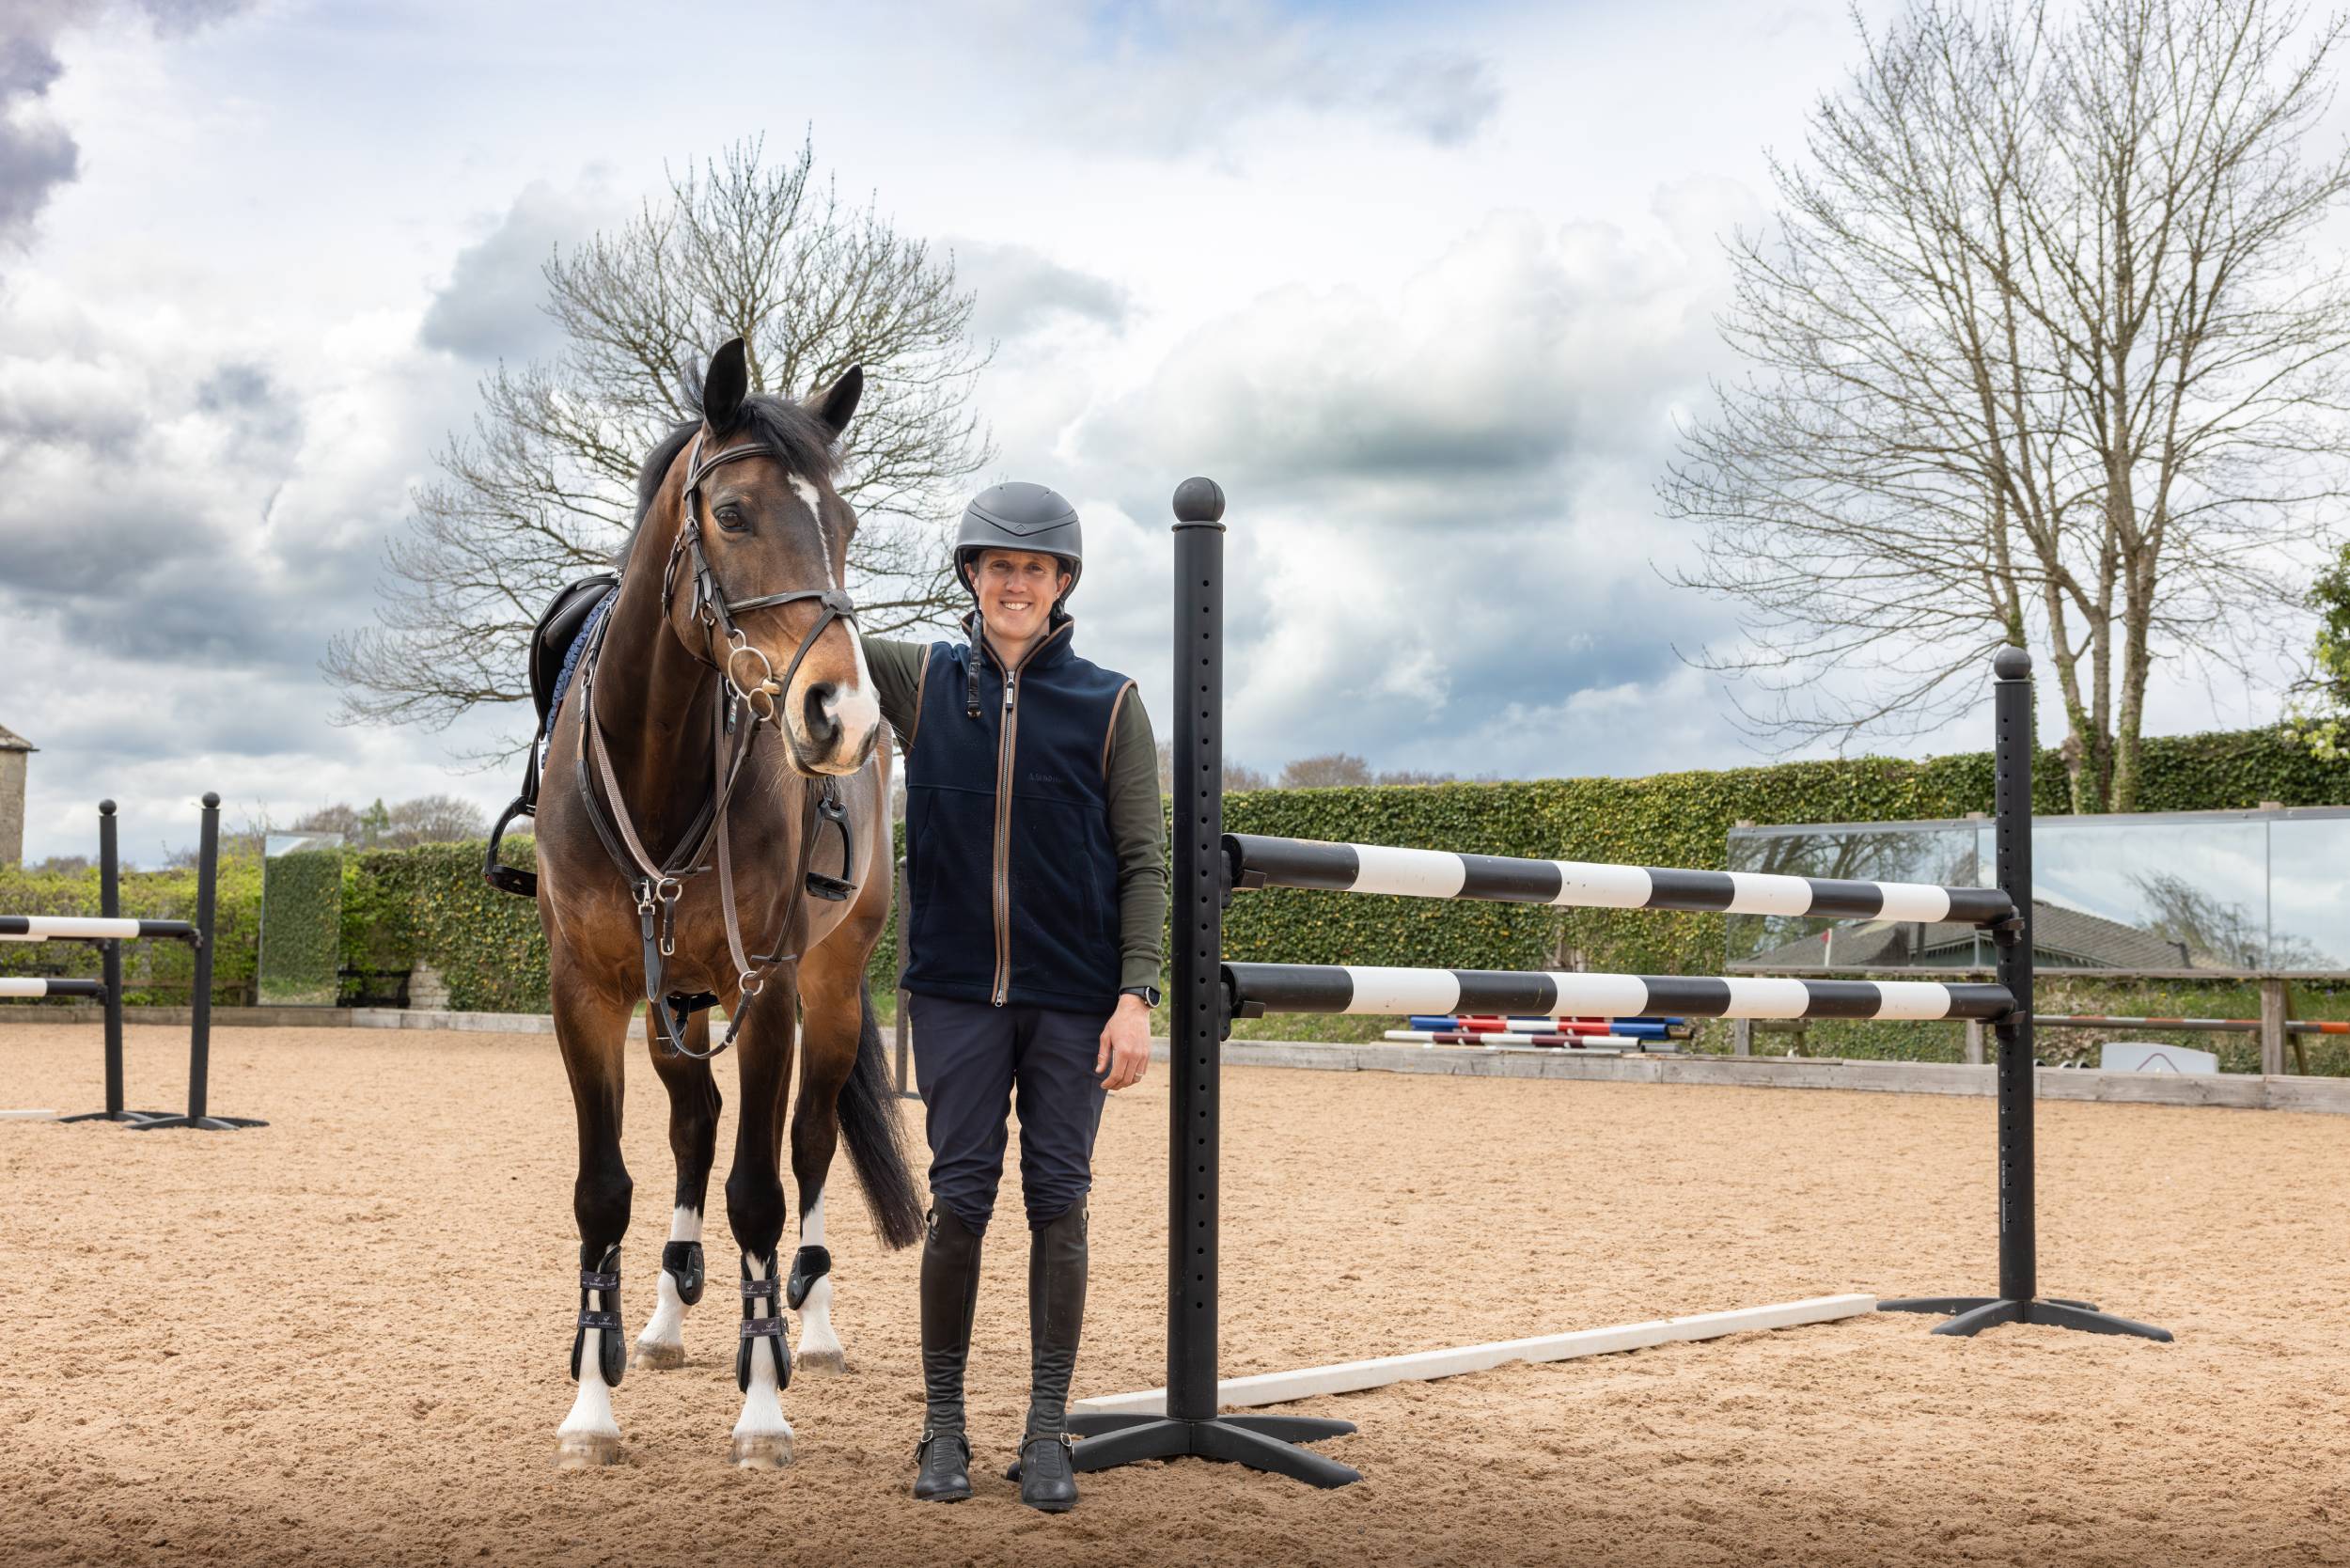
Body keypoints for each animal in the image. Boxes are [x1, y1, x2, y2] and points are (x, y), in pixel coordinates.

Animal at [531, 337, 924, 1469]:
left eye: (844, 526)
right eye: (736, 514)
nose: (841, 715)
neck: (659, 763)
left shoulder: (771, 990)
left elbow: (761, 1191)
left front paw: (762, 1404)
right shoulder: (587, 991)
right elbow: (604, 1192)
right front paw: (593, 1401)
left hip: (826, 994)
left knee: (810, 1143)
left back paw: (814, 1328)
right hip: (676, 1001)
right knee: (693, 1128)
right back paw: (665, 1315)